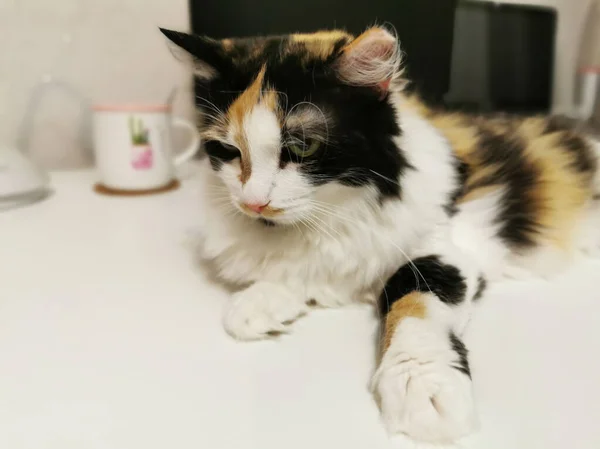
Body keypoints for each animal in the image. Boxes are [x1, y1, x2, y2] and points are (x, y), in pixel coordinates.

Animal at [161, 25, 600, 440]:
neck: (335, 209)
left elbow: (412, 303)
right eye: (228, 151)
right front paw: (258, 304)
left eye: (303, 148)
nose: (254, 203)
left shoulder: (443, 247)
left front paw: (422, 386)